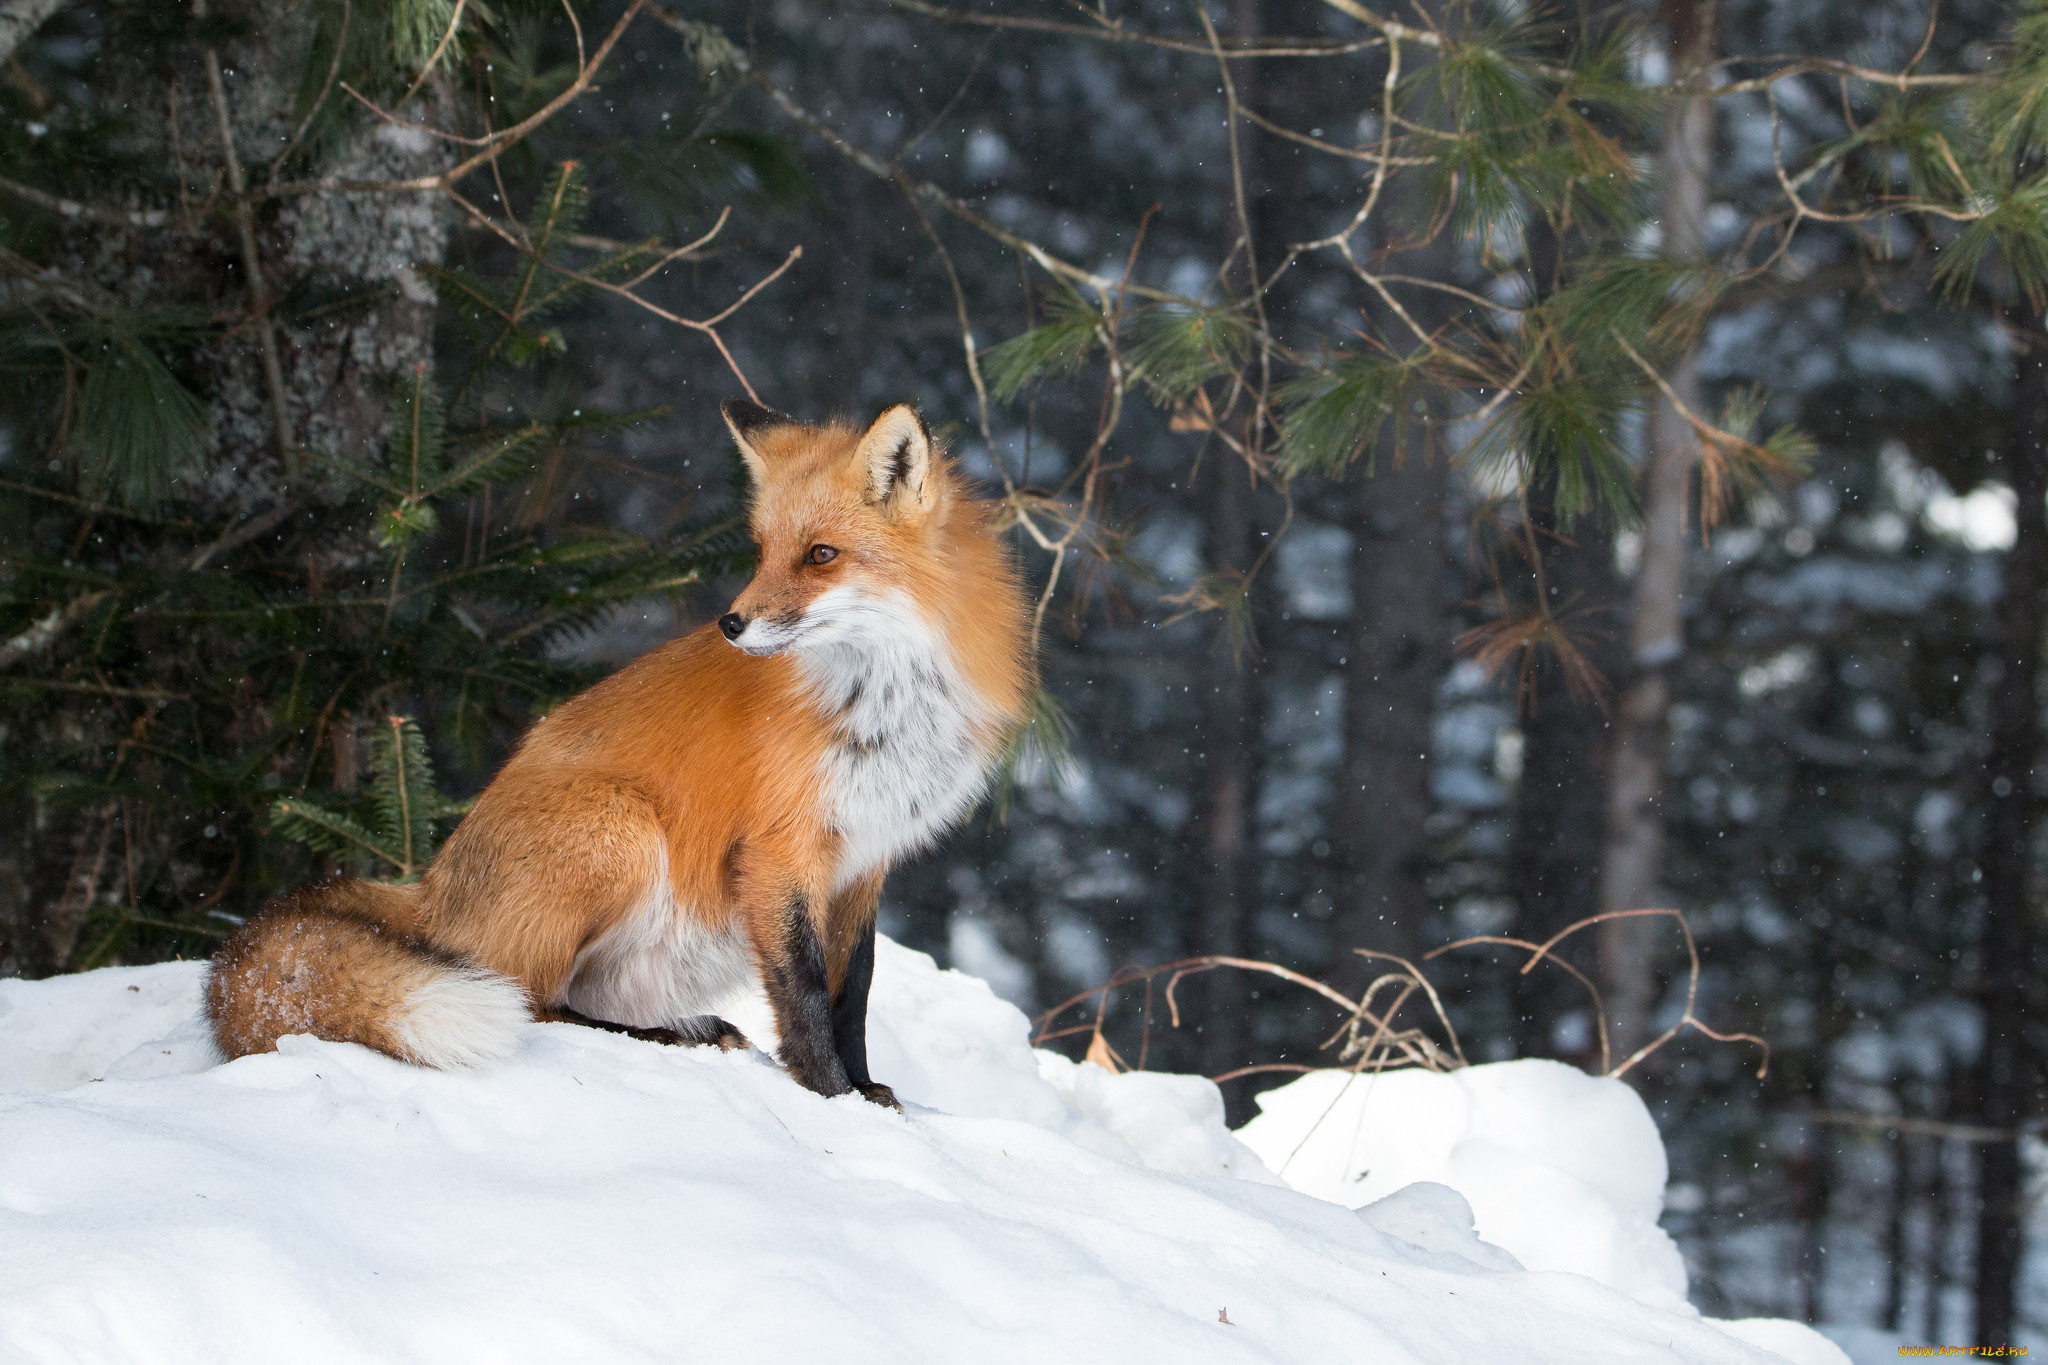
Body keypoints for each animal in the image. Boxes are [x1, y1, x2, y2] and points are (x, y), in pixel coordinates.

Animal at [205, 401, 1032, 1105]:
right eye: (762, 551)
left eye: (820, 554)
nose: (732, 623)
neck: (884, 706)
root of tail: (431, 886)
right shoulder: (780, 850)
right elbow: (801, 991)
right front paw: (830, 1095)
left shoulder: (866, 857)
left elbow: (851, 991)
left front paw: (867, 1090)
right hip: (621, 831)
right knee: (533, 1002)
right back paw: (660, 1036)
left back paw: (686, 1027)